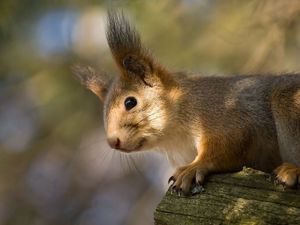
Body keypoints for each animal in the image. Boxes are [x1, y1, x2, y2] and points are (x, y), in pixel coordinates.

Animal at [73, 11, 300, 195]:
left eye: (130, 102)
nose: (113, 142)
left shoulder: (225, 115)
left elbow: (227, 145)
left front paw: (193, 168)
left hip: (288, 104)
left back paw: (291, 170)